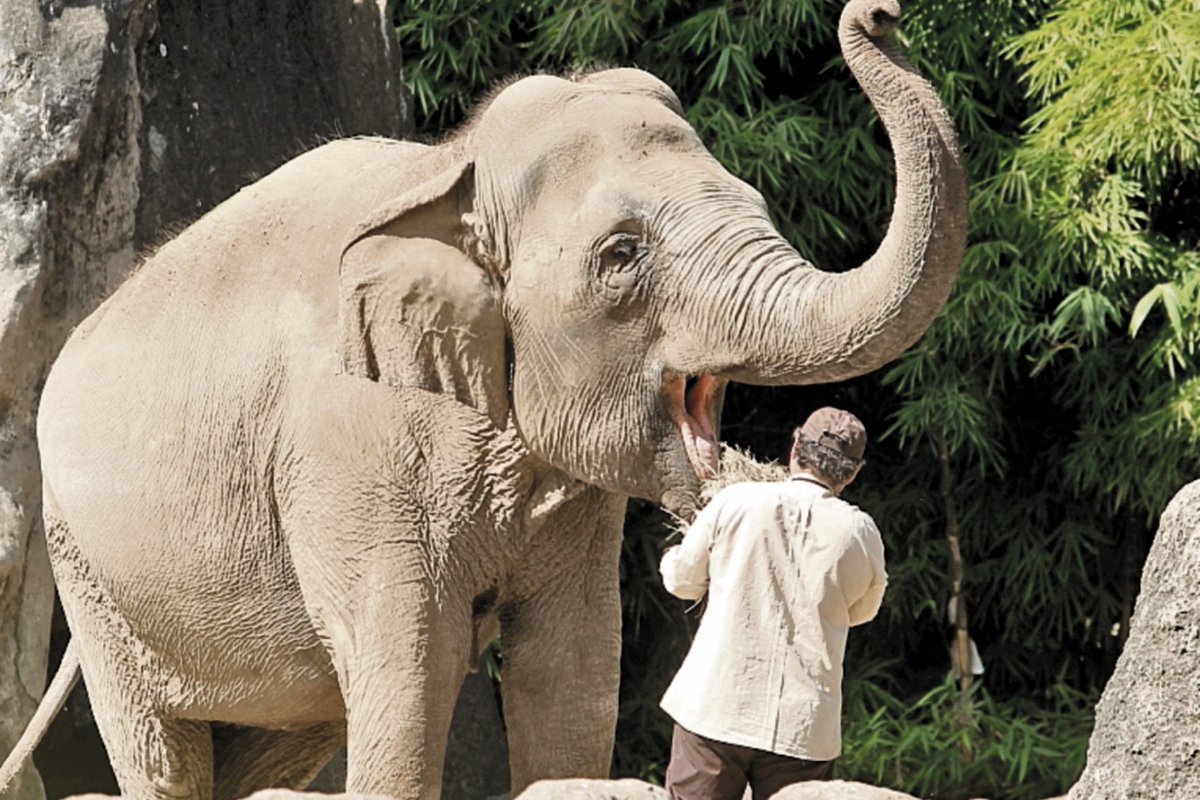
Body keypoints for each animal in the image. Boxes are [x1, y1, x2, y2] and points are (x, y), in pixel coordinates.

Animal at [1, 1, 966, 798]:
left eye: (755, 199)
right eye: (621, 255)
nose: (880, 14)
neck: (453, 168)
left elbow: (574, 668)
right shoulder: (354, 449)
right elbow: (410, 667)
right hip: (87, 569)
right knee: (166, 752)